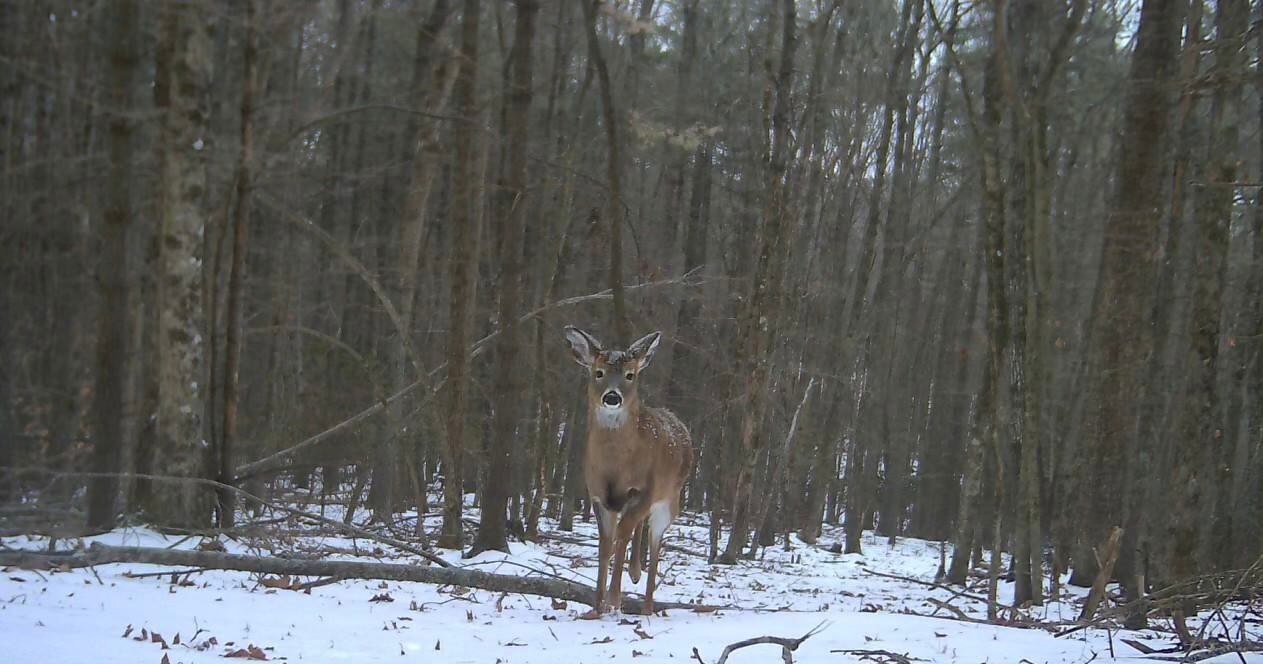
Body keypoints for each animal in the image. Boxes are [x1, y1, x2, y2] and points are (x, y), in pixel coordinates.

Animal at [563, 326, 694, 617]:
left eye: (630, 375)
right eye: (598, 372)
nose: (612, 397)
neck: (616, 468)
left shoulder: (645, 490)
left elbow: (622, 535)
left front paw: (614, 600)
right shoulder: (598, 495)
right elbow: (606, 543)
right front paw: (597, 605)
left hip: (669, 500)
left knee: (655, 546)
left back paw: (646, 604)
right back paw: (634, 575)